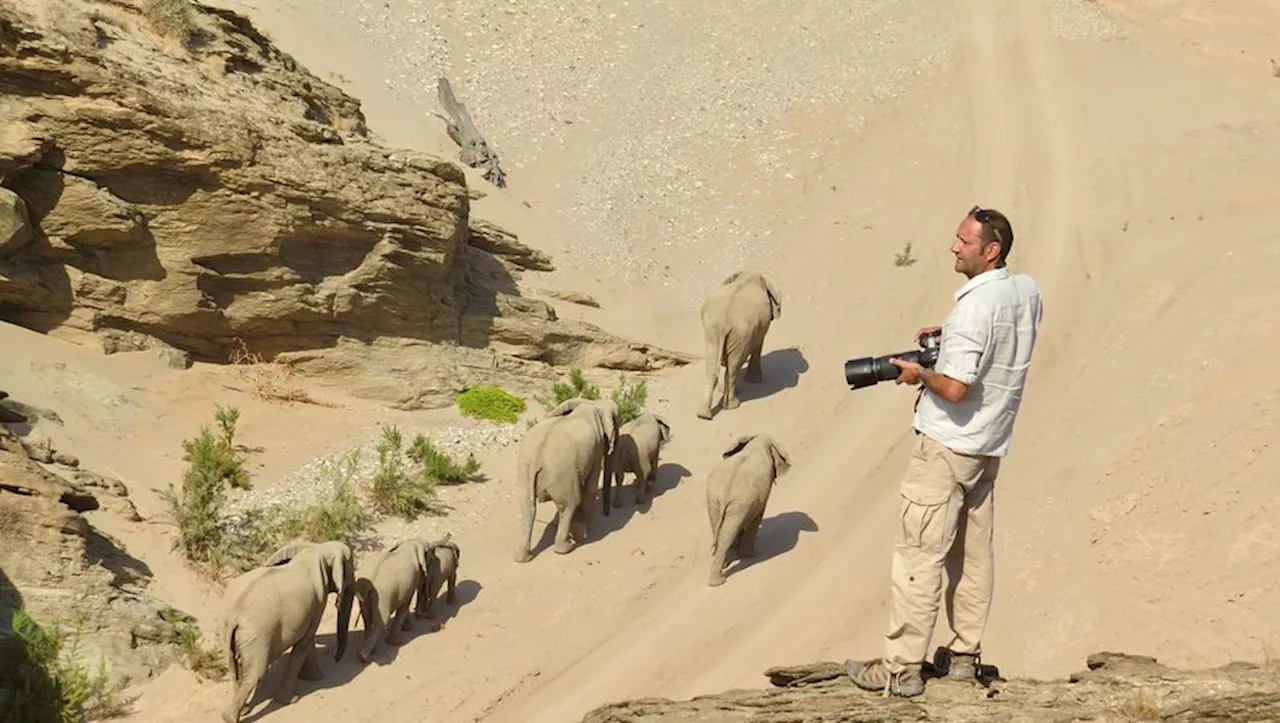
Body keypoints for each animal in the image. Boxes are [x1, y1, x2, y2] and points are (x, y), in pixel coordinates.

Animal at [216, 537, 353, 716]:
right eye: (352, 567)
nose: (336, 660)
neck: (317, 549)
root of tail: (234, 614)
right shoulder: (319, 600)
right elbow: (305, 641)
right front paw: (293, 698)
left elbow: (307, 641)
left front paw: (313, 678)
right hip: (259, 635)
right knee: (256, 673)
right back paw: (231, 717)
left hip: (227, 630)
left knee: (233, 668)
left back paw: (242, 711)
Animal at [514, 396, 624, 560]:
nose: (607, 514)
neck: (591, 405)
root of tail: (536, 458)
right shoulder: (596, 450)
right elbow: (590, 489)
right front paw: (584, 530)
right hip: (561, 472)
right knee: (569, 504)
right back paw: (569, 545)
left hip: (524, 471)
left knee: (528, 506)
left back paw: (523, 558)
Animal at [701, 268, 778, 417]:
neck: (750, 275)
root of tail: (724, 321)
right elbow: (758, 345)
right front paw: (754, 381)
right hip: (740, 334)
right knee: (734, 364)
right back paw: (732, 406)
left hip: (714, 331)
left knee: (715, 366)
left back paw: (703, 414)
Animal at [706, 432, 793, 583]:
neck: (758, 440)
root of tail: (726, 491)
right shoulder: (760, 494)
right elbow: (758, 515)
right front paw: (752, 555)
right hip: (739, 502)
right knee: (729, 530)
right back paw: (719, 580)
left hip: (715, 501)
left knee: (722, 528)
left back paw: (724, 566)